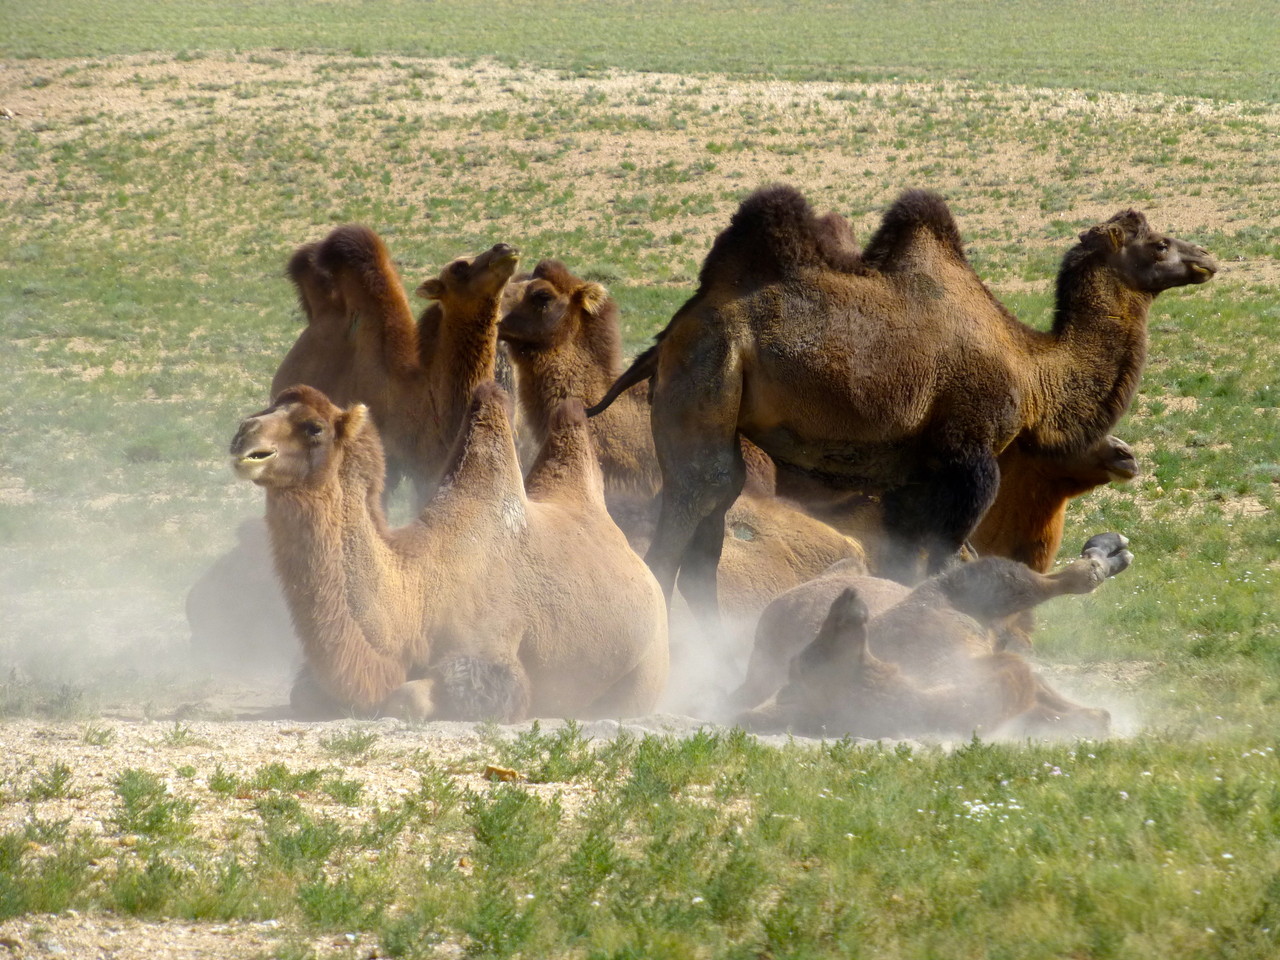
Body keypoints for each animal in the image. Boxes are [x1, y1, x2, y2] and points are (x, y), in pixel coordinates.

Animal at [231, 378, 670, 716]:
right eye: (268, 408)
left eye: (313, 427)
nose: (243, 436)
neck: (420, 592)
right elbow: (303, 694)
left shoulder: (491, 660)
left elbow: (407, 699)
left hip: (646, 667)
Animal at [593, 184, 1213, 619]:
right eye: (1159, 243)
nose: (1206, 256)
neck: (1031, 366)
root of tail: (675, 330)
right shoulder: (969, 456)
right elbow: (942, 555)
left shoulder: (914, 472)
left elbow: (906, 557)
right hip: (706, 370)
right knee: (697, 493)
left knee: (715, 501)